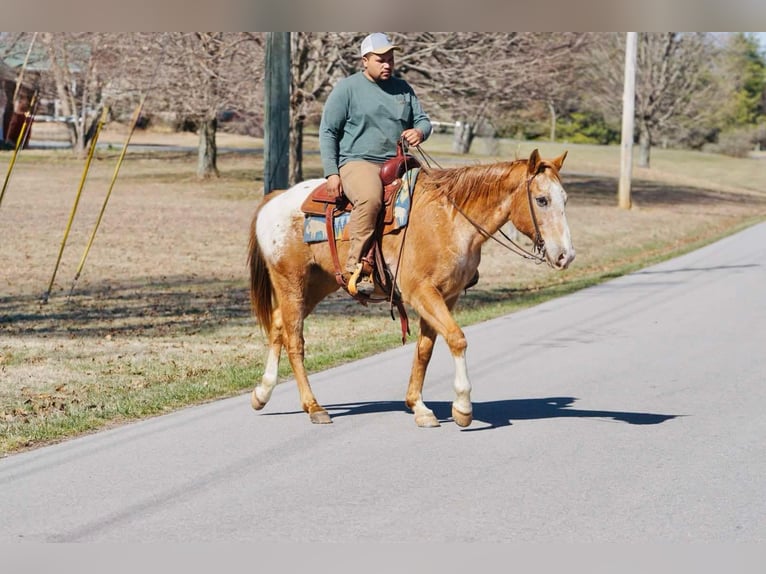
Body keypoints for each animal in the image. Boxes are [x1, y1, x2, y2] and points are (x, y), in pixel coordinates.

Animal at [247, 148, 575, 428]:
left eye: (565, 199)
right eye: (542, 200)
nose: (566, 255)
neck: (450, 220)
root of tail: (275, 198)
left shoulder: (446, 296)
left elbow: (425, 349)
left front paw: (418, 406)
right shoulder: (422, 293)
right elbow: (456, 339)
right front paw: (462, 407)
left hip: (317, 284)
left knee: (278, 324)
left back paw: (262, 393)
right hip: (291, 282)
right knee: (295, 340)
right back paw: (314, 407)